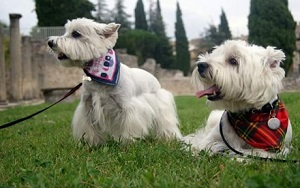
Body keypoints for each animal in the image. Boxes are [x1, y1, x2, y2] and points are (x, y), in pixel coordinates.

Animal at [48, 18, 182, 145]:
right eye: (66, 31)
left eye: (76, 33)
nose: (50, 42)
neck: (99, 74)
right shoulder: (88, 106)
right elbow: (89, 127)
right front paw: (91, 143)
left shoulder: (127, 107)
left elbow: (128, 125)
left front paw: (128, 142)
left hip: (161, 106)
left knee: (166, 123)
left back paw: (169, 138)